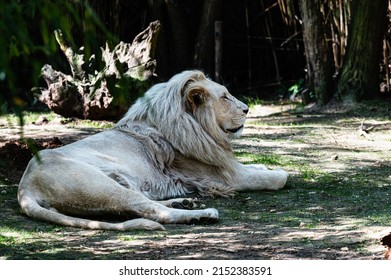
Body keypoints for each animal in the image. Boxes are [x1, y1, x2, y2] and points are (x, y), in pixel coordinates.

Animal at [18, 70, 288, 230]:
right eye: (225, 97)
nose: (247, 109)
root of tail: (25, 187)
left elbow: (252, 166)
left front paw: (263, 165)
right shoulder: (220, 177)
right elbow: (275, 178)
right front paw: (278, 173)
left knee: (148, 202)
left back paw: (184, 202)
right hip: (101, 186)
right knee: (151, 211)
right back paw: (201, 214)